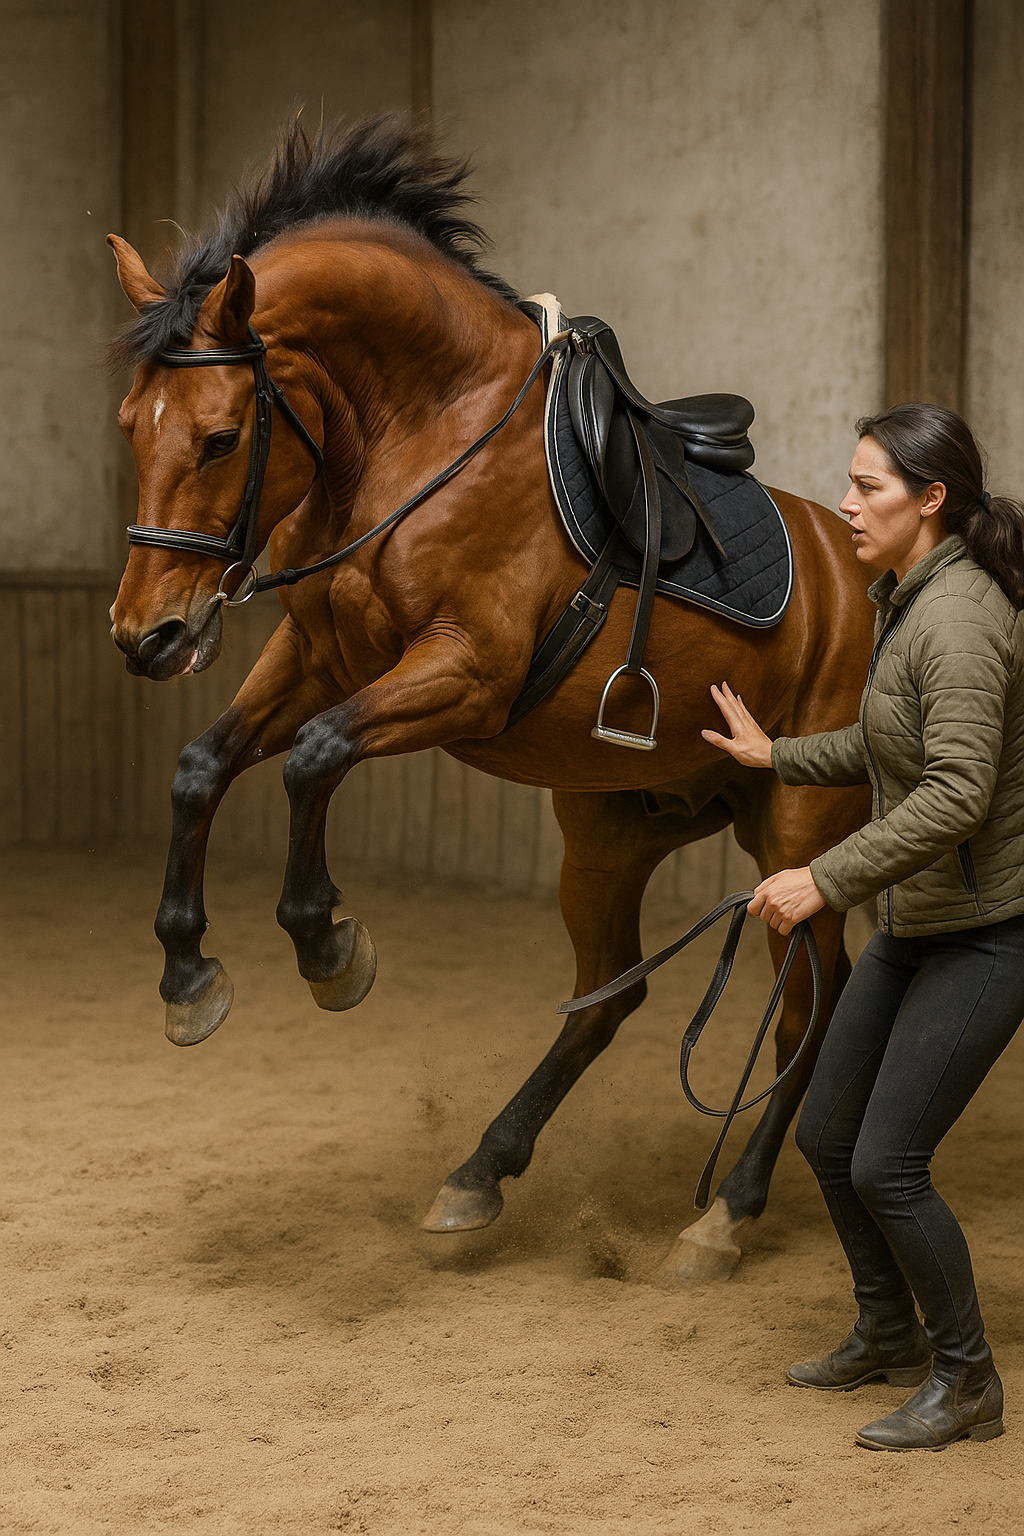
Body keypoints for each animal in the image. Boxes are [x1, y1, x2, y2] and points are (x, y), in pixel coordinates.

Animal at [107, 118, 873, 1285]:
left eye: (220, 438)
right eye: (128, 426)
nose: (146, 635)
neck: (419, 432)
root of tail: (877, 577)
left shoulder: (463, 675)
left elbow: (313, 759)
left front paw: (328, 948)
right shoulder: (316, 653)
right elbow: (204, 767)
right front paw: (189, 978)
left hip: (800, 833)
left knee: (807, 1009)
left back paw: (725, 1217)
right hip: (609, 830)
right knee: (612, 996)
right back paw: (479, 1174)